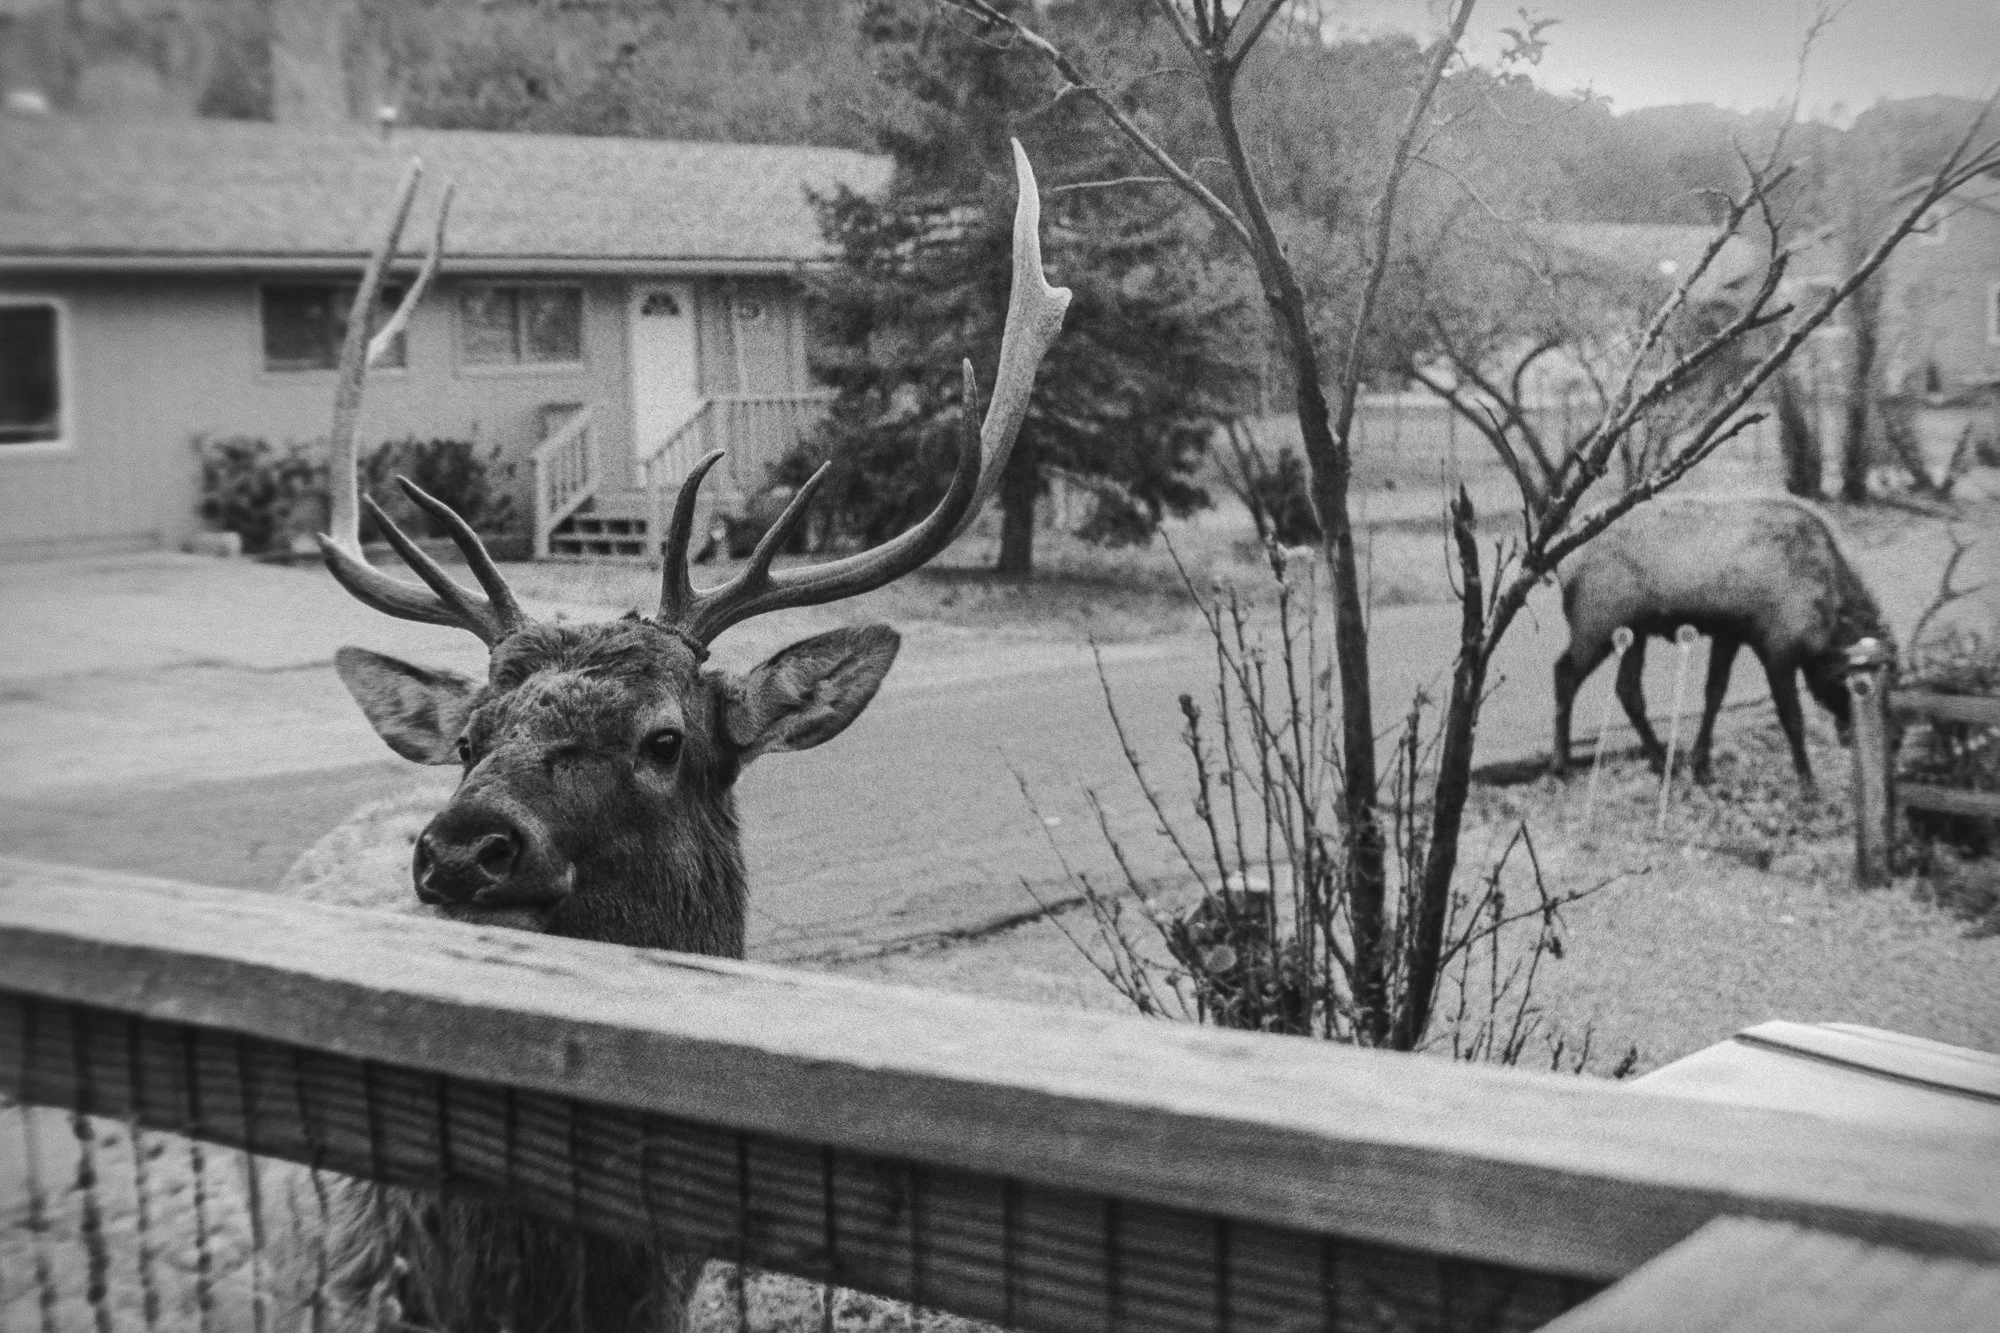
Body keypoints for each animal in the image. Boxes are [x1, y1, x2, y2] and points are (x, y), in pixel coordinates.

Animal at [1549, 494, 1891, 797]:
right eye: (1848, 679)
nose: (1850, 733)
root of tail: (1561, 564)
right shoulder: (1776, 649)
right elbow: (1792, 719)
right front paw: (1808, 785)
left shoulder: (1730, 634)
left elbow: (1714, 692)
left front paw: (1700, 766)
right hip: (1597, 626)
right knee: (1565, 673)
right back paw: (1562, 765)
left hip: (1634, 633)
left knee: (1627, 690)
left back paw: (1662, 762)